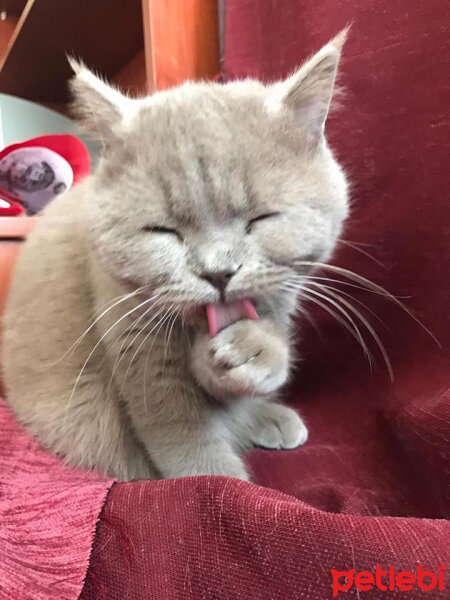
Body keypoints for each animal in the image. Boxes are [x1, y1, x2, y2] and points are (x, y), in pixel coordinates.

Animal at [0, 31, 348, 482]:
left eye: (261, 219)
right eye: (162, 231)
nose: (218, 272)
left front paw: (255, 349)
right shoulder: (138, 347)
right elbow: (186, 439)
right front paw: (221, 487)